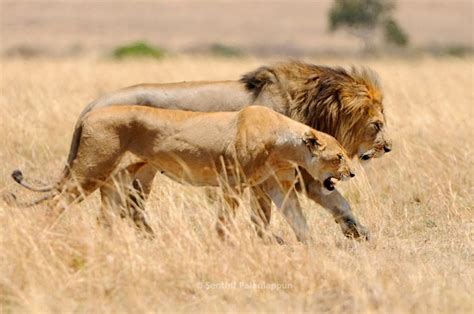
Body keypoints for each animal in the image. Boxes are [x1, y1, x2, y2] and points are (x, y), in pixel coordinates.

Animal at [9, 106, 354, 243]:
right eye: (338, 156)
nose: (352, 172)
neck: (284, 143)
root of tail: (88, 114)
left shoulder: (278, 187)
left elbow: (298, 220)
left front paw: (310, 249)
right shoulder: (232, 182)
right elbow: (224, 221)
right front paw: (224, 245)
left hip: (118, 180)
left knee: (105, 217)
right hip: (90, 170)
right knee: (57, 204)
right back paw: (45, 236)